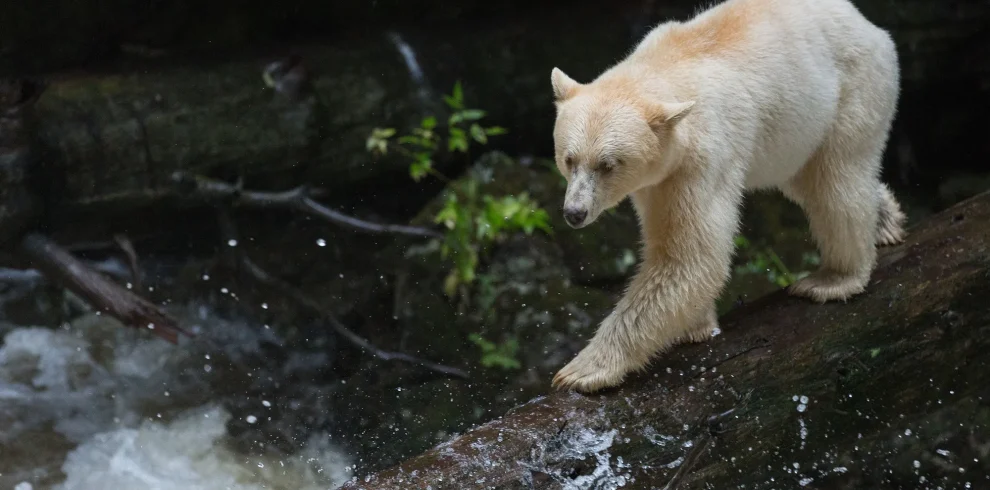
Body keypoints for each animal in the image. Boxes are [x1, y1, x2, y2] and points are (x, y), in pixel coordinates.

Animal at [549, 0, 905, 393]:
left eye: (607, 164)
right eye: (569, 158)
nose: (574, 212)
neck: (668, 64)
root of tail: (864, 22)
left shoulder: (703, 157)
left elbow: (692, 256)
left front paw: (581, 370)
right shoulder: (660, 176)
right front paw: (695, 327)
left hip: (850, 89)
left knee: (835, 181)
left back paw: (833, 279)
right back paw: (886, 223)